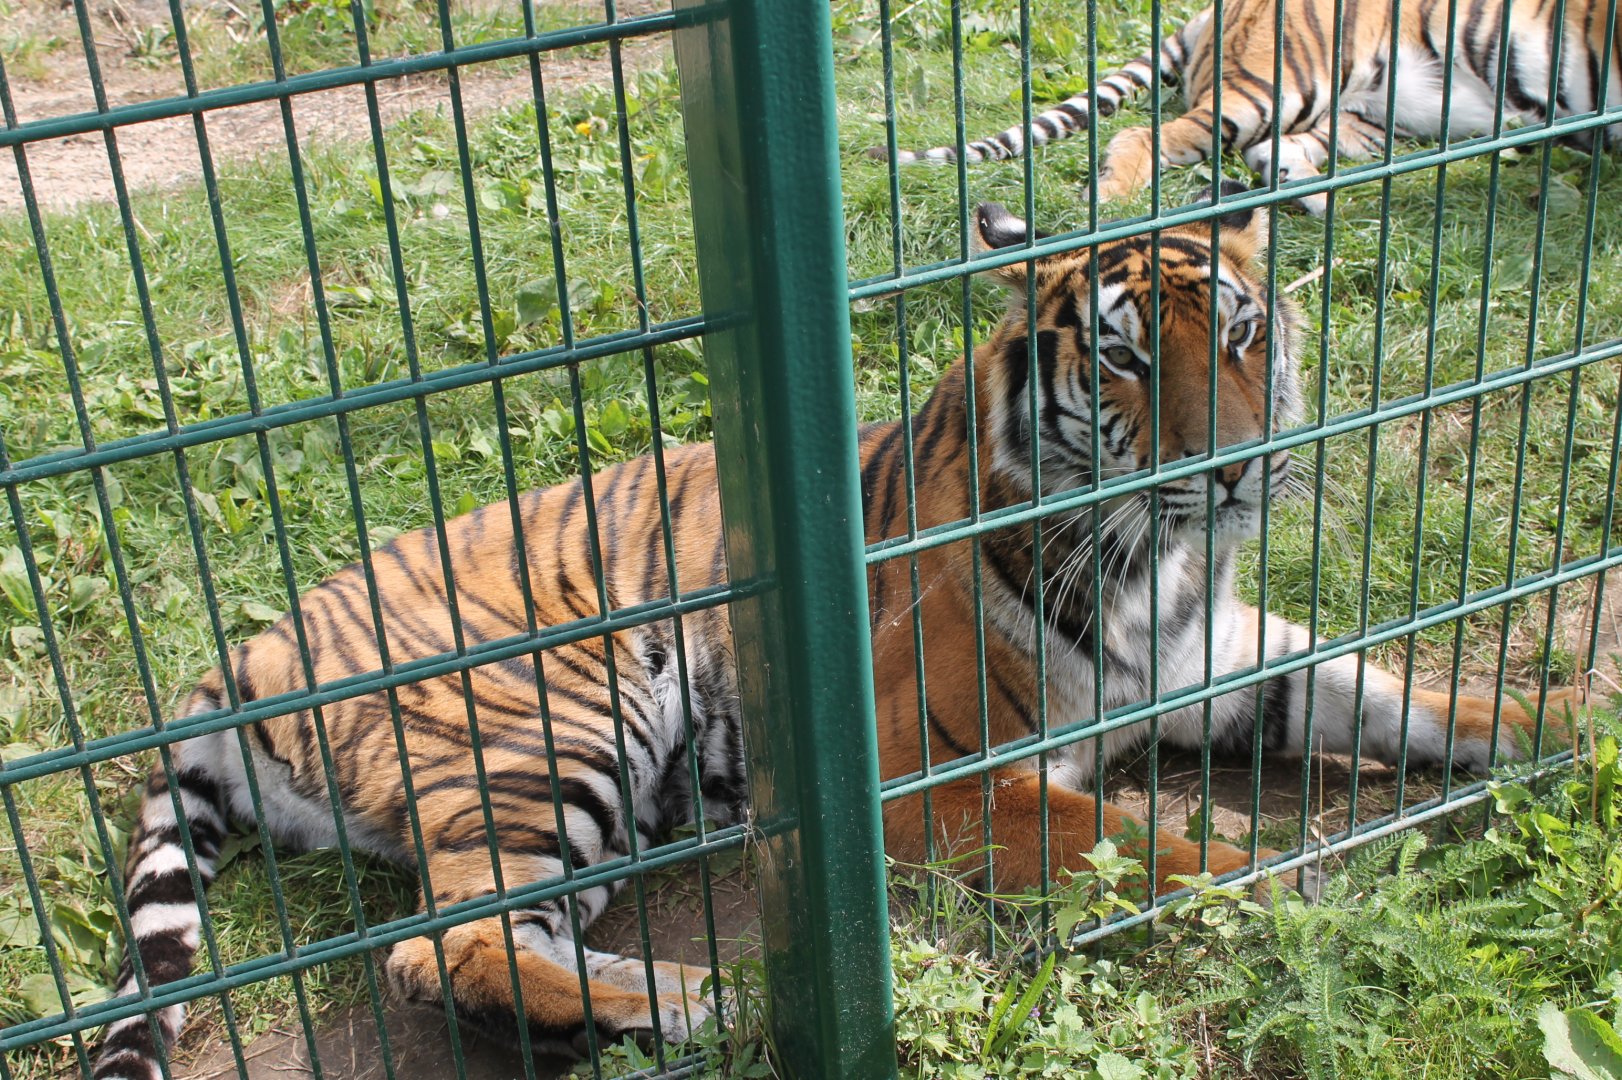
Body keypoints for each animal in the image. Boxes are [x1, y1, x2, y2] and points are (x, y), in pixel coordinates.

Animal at [90, 186, 1574, 1080]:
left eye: (1247, 332)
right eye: (1123, 357)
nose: (1233, 471)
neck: (1157, 564)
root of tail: (257, 643)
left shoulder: (1222, 665)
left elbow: (1413, 695)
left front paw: (1563, 732)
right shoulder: (940, 784)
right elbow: (1147, 846)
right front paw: (1297, 885)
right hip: (553, 719)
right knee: (434, 948)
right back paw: (707, 1003)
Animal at [873, 0, 1622, 215]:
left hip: (1365, 120)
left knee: (1270, 154)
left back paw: (1303, 195)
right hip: (1278, 84)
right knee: (1144, 135)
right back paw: (1112, 196)